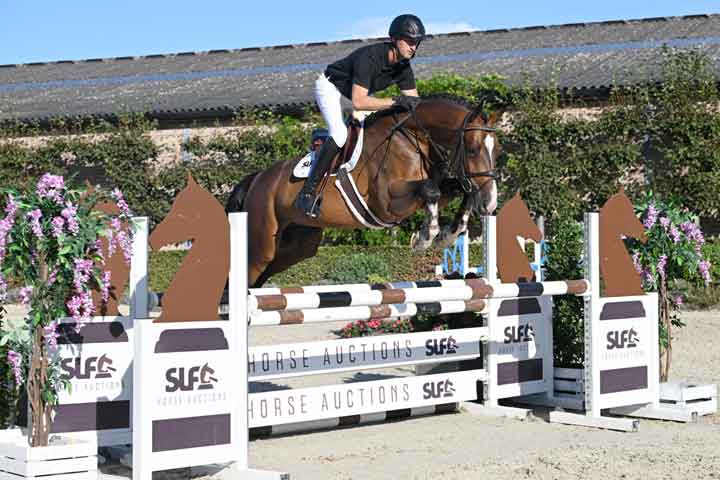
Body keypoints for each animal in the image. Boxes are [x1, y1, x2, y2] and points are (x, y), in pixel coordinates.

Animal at [227, 95, 500, 288]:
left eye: (495, 150)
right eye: (473, 150)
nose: (490, 203)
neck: (413, 138)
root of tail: (257, 179)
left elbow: (460, 191)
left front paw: (449, 233)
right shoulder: (387, 204)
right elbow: (430, 190)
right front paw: (424, 237)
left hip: (296, 246)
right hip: (261, 245)